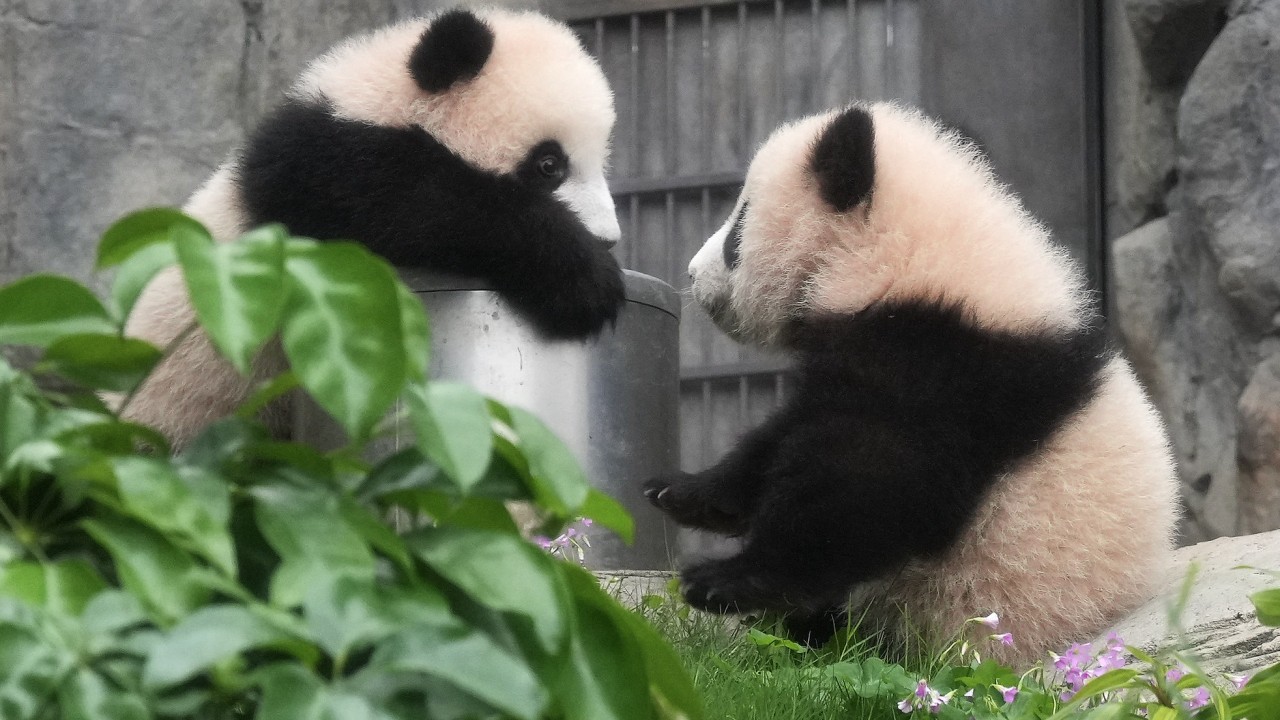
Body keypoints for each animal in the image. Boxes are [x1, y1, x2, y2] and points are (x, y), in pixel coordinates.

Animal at [122, 8, 624, 446]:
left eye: (602, 162)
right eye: (548, 164)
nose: (608, 240)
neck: (378, 99)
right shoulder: (319, 173)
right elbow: (418, 204)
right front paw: (582, 278)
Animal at [643, 102, 1180, 665]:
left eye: (738, 228)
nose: (692, 274)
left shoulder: (945, 372)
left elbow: (867, 481)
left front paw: (724, 580)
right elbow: (782, 435)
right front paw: (681, 491)